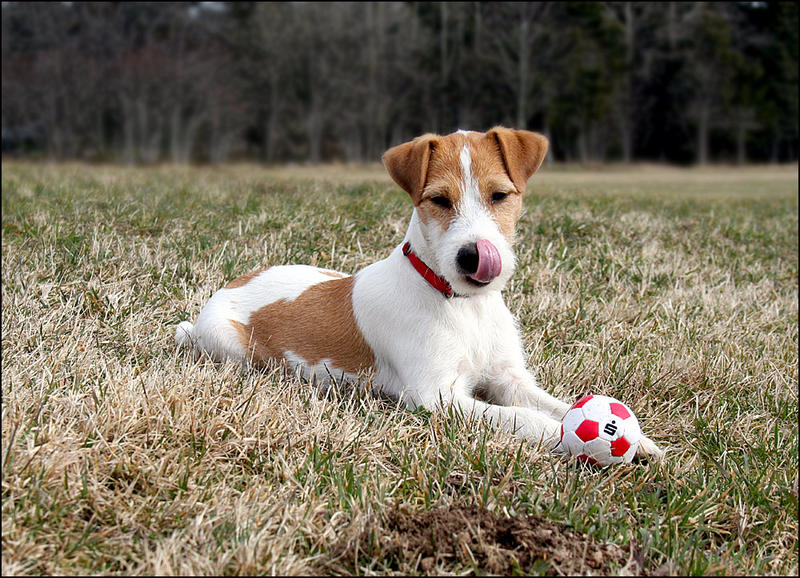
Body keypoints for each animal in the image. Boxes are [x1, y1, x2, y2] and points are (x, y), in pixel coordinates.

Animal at [175, 126, 664, 460]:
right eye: (439, 200)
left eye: (500, 195)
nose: (473, 256)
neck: (463, 305)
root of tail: (231, 285)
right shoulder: (435, 396)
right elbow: (524, 417)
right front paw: (563, 437)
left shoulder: (510, 379)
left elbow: (562, 406)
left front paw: (639, 440)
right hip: (228, 345)